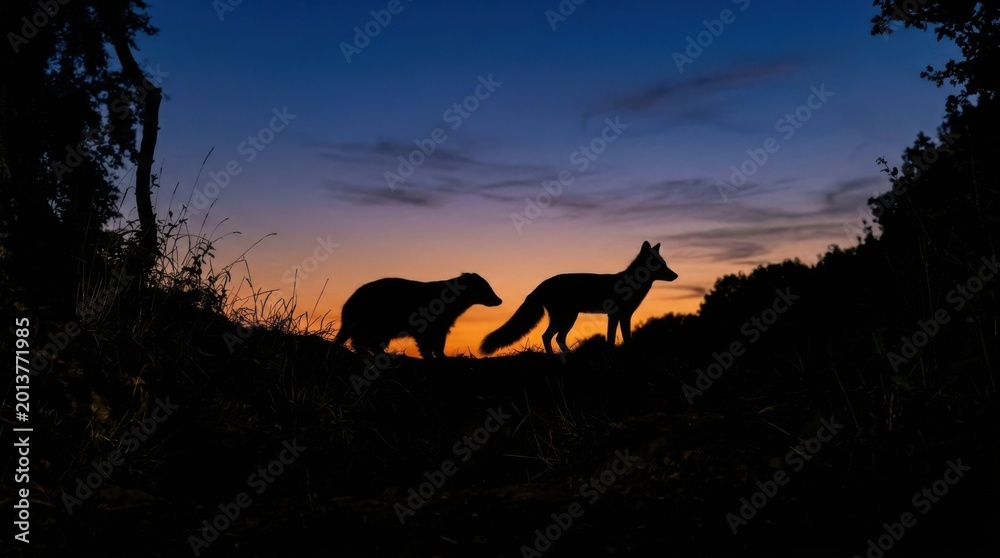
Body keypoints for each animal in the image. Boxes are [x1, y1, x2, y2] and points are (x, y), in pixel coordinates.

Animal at [334, 272, 502, 359]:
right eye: (487, 288)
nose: (499, 300)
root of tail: (347, 306)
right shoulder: (429, 319)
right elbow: (425, 340)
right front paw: (431, 356)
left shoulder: (443, 323)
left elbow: (440, 341)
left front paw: (442, 356)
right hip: (371, 320)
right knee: (361, 340)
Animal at [480, 241, 678, 355]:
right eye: (660, 265)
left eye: (665, 264)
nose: (676, 276)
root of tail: (540, 285)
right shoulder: (615, 315)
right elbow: (613, 339)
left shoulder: (623, 316)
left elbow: (623, 338)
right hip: (567, 318)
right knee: (548, 336)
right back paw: (555, 358)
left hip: (567, 319)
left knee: (554, 338)